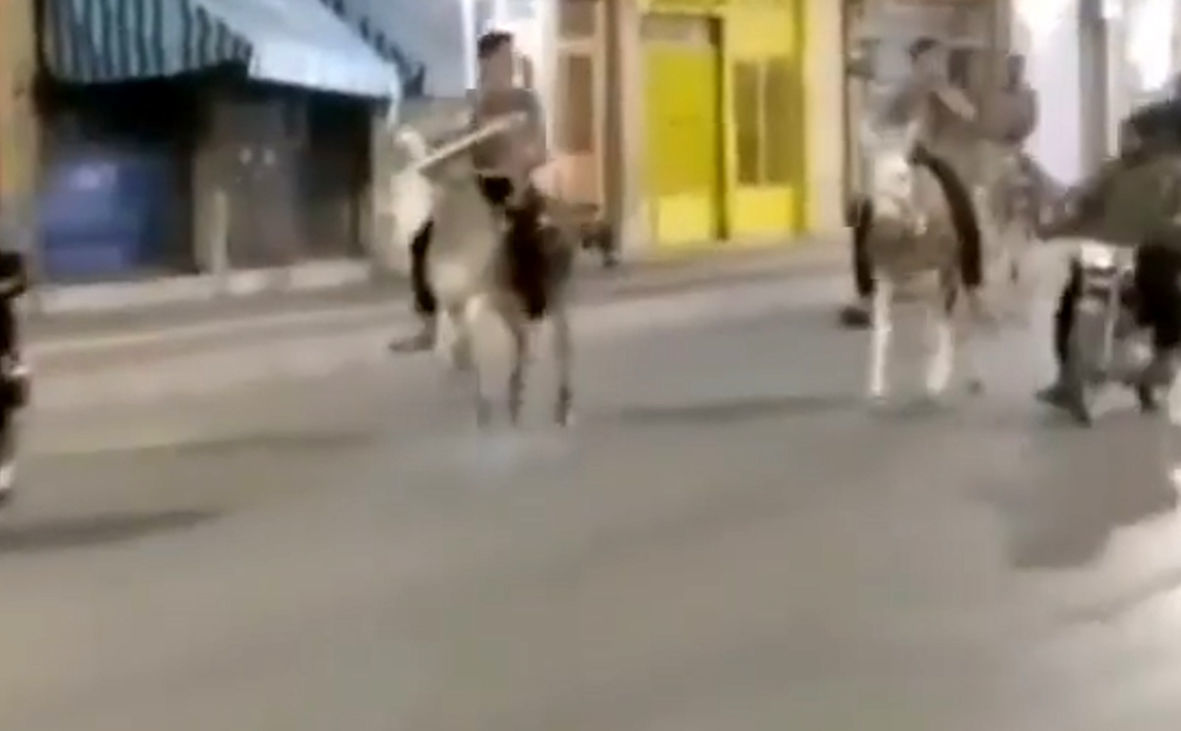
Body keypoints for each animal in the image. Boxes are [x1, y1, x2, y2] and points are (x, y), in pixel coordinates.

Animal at [860, 121, 986, 404]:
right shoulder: (884, 277)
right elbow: (882, 331)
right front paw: (876, 387)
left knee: (963, 314)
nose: (881, 223)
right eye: (871, 174)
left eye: (903, 176)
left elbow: (940, 328)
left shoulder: (940, 274)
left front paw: (936, 381)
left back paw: (970, 377)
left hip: (961, 271)